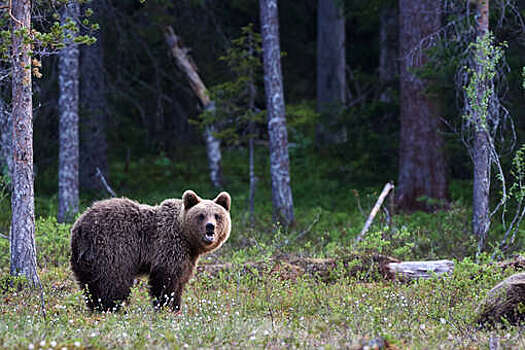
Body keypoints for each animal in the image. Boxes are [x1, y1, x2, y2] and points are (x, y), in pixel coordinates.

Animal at [70, 190, 231, 314]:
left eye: (217, 215)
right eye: (201, 215)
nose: (210, 227)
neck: (187, 238)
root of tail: (80, 226)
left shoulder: (188, 257)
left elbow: (181, 280)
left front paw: (176, 307)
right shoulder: (169, 245)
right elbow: (166, 280)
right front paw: (166, 307)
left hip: (83, 259)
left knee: (90, 284)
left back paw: (96, 307)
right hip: (112, 248)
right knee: (113, 281)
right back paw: (112, 308)